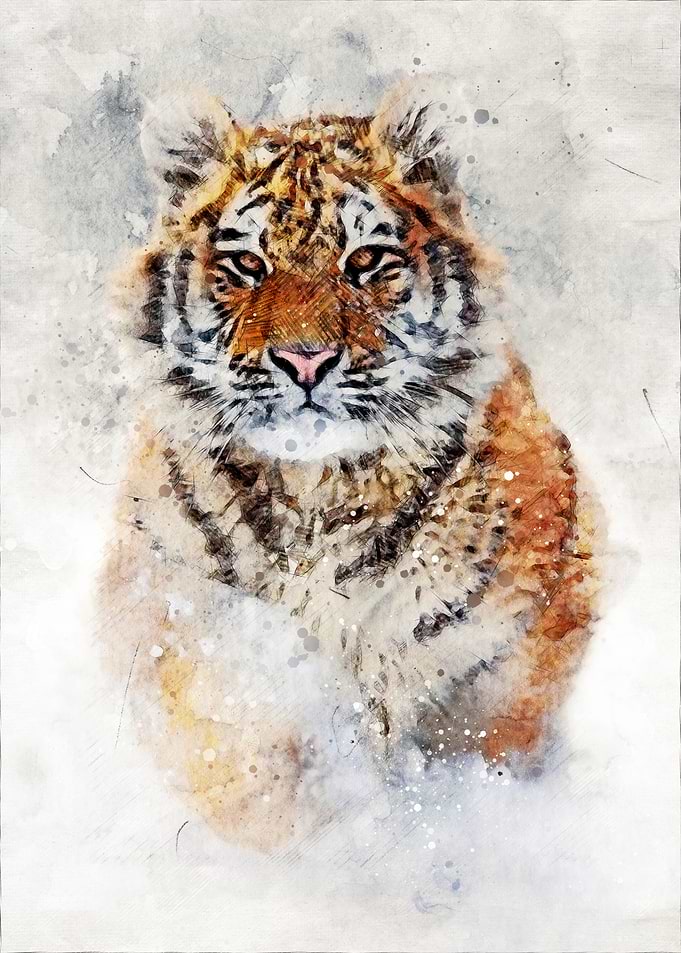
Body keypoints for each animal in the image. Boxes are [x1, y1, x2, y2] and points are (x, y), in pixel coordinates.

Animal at [102, 89, 599, 852]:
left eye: (365, 260)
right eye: (247, 265)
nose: (304, 360)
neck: (319, 495)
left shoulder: (504, 652)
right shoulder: (187, 628)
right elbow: (246, 756)